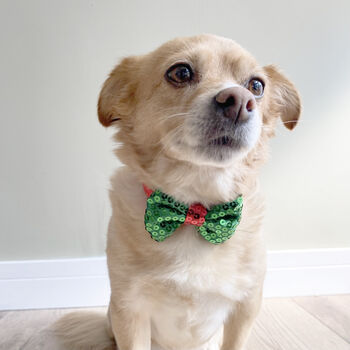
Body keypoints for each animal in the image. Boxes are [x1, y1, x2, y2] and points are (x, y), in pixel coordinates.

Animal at [54, 33, 300, 350]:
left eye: (257, 86)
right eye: (181, 72)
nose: (239, 101)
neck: (197, 205)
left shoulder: (245, 308)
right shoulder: (129, 310)